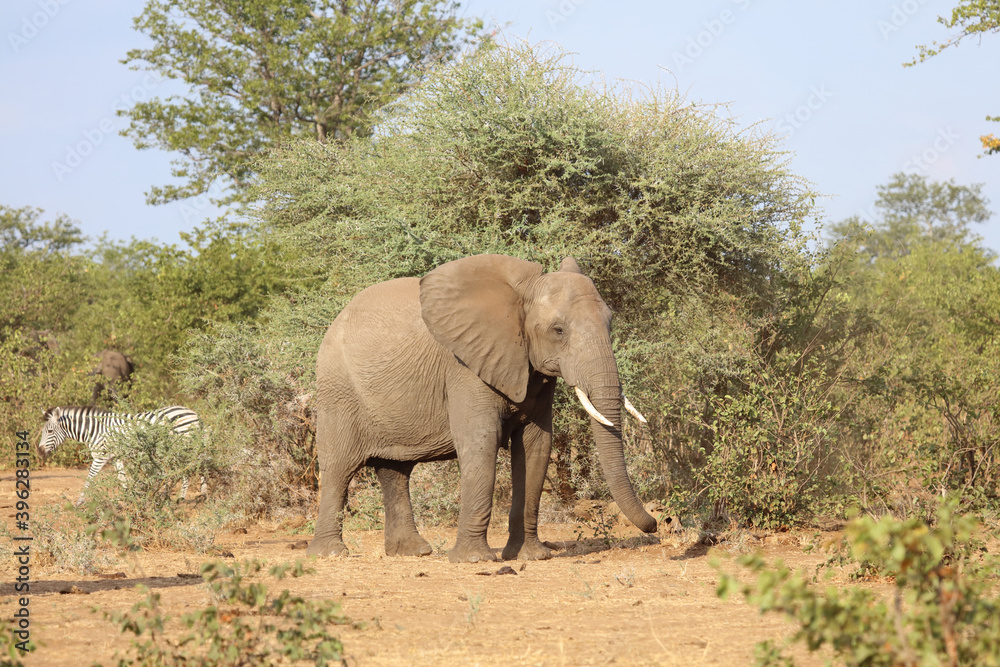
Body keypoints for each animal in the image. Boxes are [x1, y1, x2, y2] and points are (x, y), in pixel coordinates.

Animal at [38, 404, 207, 504]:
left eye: (50, 431)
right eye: (43, 431)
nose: (39, 451)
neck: (96, 430)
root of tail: (193, 412)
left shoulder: (101, 456)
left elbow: (90, 478)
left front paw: (79, 502)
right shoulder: (115, 457)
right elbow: (123, 480)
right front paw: (130, 498)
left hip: (183, 444)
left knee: (193, 467)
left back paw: (186, 497)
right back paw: (197, 496)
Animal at [306, 256, 656, 564]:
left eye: (610, 323)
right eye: (558, 330)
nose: (655, 525)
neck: (520, 295)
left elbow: (536, 448)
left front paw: (532, 557)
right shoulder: (465, 367)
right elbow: (481, 443)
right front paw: (473, 560)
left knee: (395, 470)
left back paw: (412, 553)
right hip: (338, 390)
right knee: (339, 467)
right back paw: (330, 554)